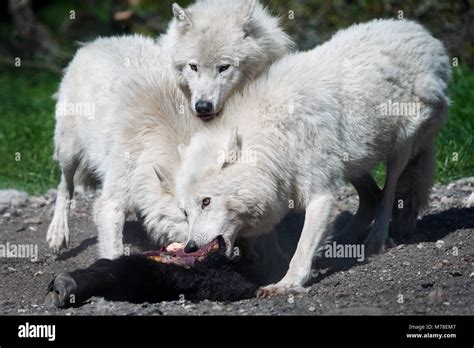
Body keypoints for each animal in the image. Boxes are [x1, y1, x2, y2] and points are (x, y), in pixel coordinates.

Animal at [176, 19, 450, 294]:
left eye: (206, 201)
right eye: (185, 212)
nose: (190, 247)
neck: (273, 132)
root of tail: (423, 34)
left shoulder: (322, 194)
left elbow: (302, 247)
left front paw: (286, 284)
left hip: (401, 145)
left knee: (389, 192)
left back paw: (376, 239)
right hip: (350, 161)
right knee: (373, 195)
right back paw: (342, 242)